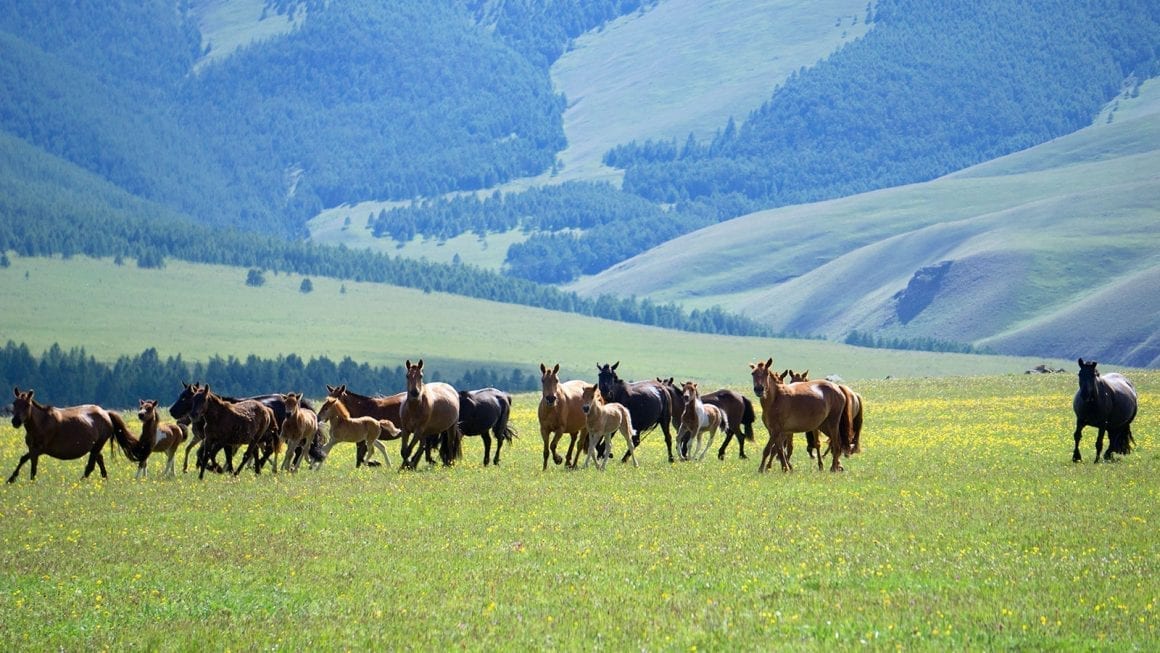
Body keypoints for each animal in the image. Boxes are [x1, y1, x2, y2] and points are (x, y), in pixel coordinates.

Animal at [8, 385, 139, 482]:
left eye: (27, 405)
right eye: (14, 403)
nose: (15, 422)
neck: (41, 423)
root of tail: (106, 413)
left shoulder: (40, 449)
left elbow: (30, 464)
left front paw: (23, 480)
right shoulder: (32, 448)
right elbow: (25, 460)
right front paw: (14, 479)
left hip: (98, 445)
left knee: (91, 466)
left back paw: (80, 482)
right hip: (95, 447)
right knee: (100, 460)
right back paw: (104, 479)